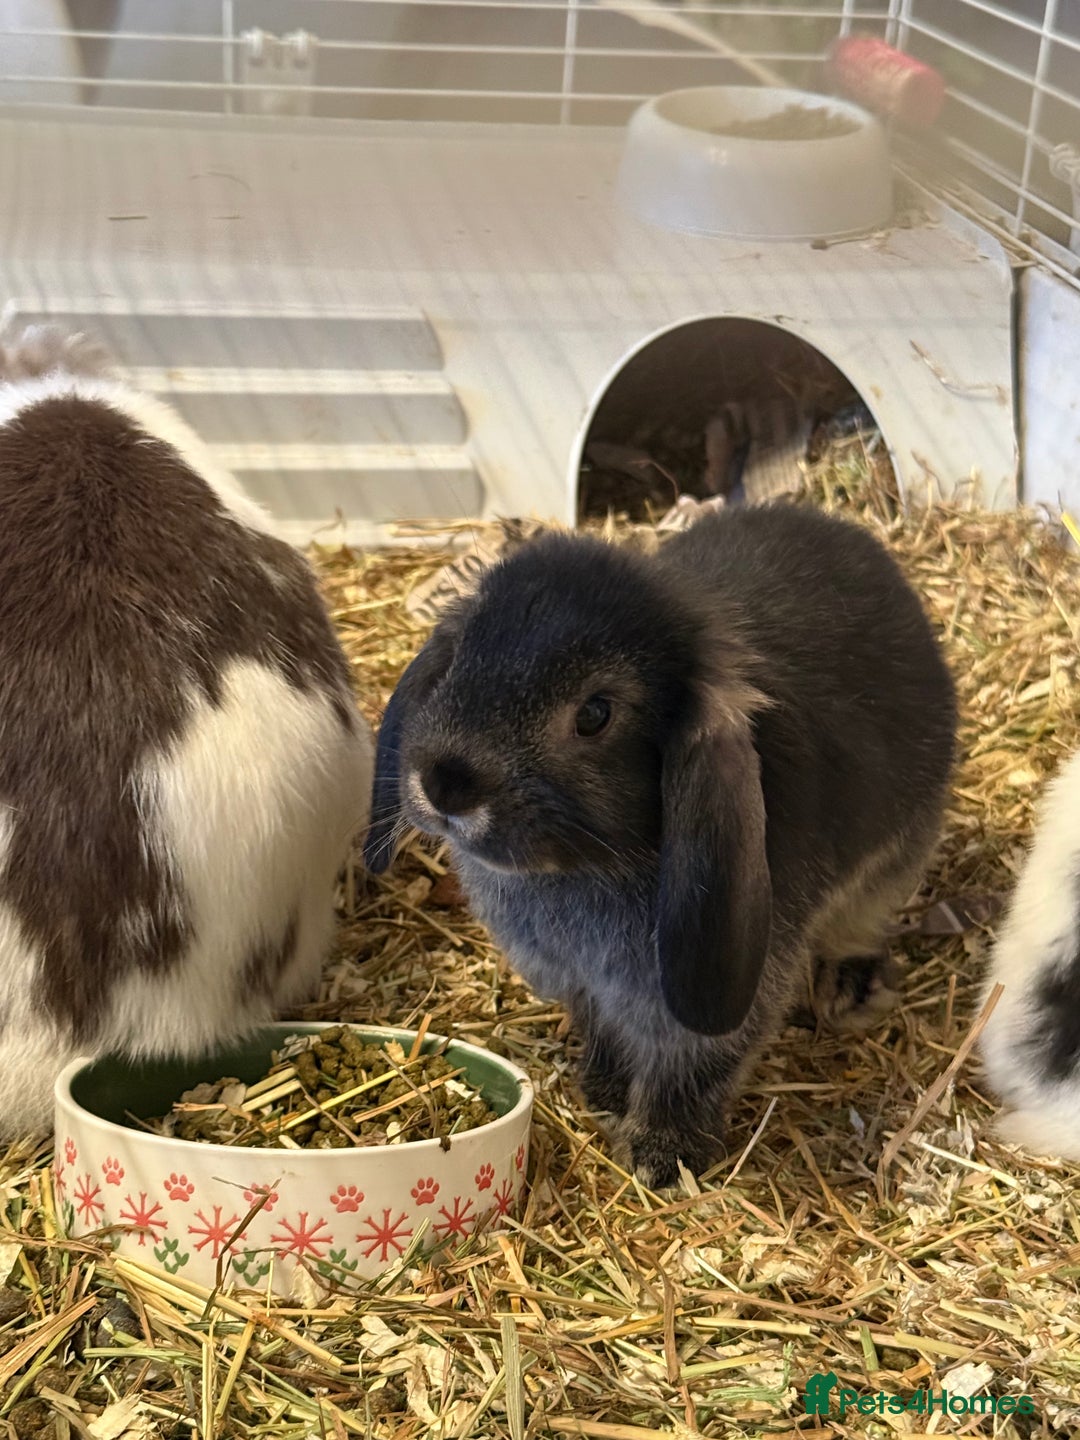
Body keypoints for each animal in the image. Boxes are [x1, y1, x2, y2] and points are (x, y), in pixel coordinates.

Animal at [364, 503, 956, 1187]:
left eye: (596, 714)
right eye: (460, 657)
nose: (445, 784)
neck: (583, 868)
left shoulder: (706, 1009)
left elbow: (691, 1073)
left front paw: (662, 1158)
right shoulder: (586, 990)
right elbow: (602, 1033)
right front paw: (602, 1093)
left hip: (895, 861)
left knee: (860, 926)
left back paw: (852, 993)